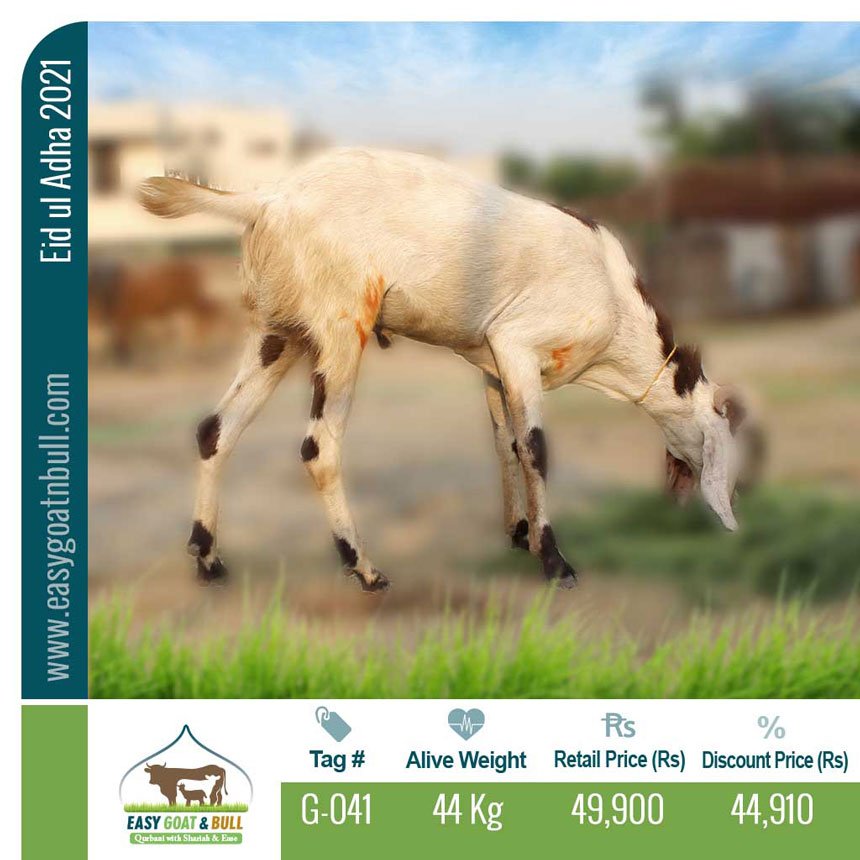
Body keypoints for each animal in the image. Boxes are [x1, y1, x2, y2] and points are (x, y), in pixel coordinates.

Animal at [138, 148, 763, 591]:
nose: (736, 507)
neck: (615, 298)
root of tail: (268, 199)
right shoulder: (519, 343)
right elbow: (536, 447)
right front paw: (555, 561)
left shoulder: (493, 362)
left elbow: (506, 443)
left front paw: (519, 534)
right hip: (340, 326)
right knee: (319, 446)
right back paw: (363, 568)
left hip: (280, 330)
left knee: (216, 429)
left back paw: (208, 559)